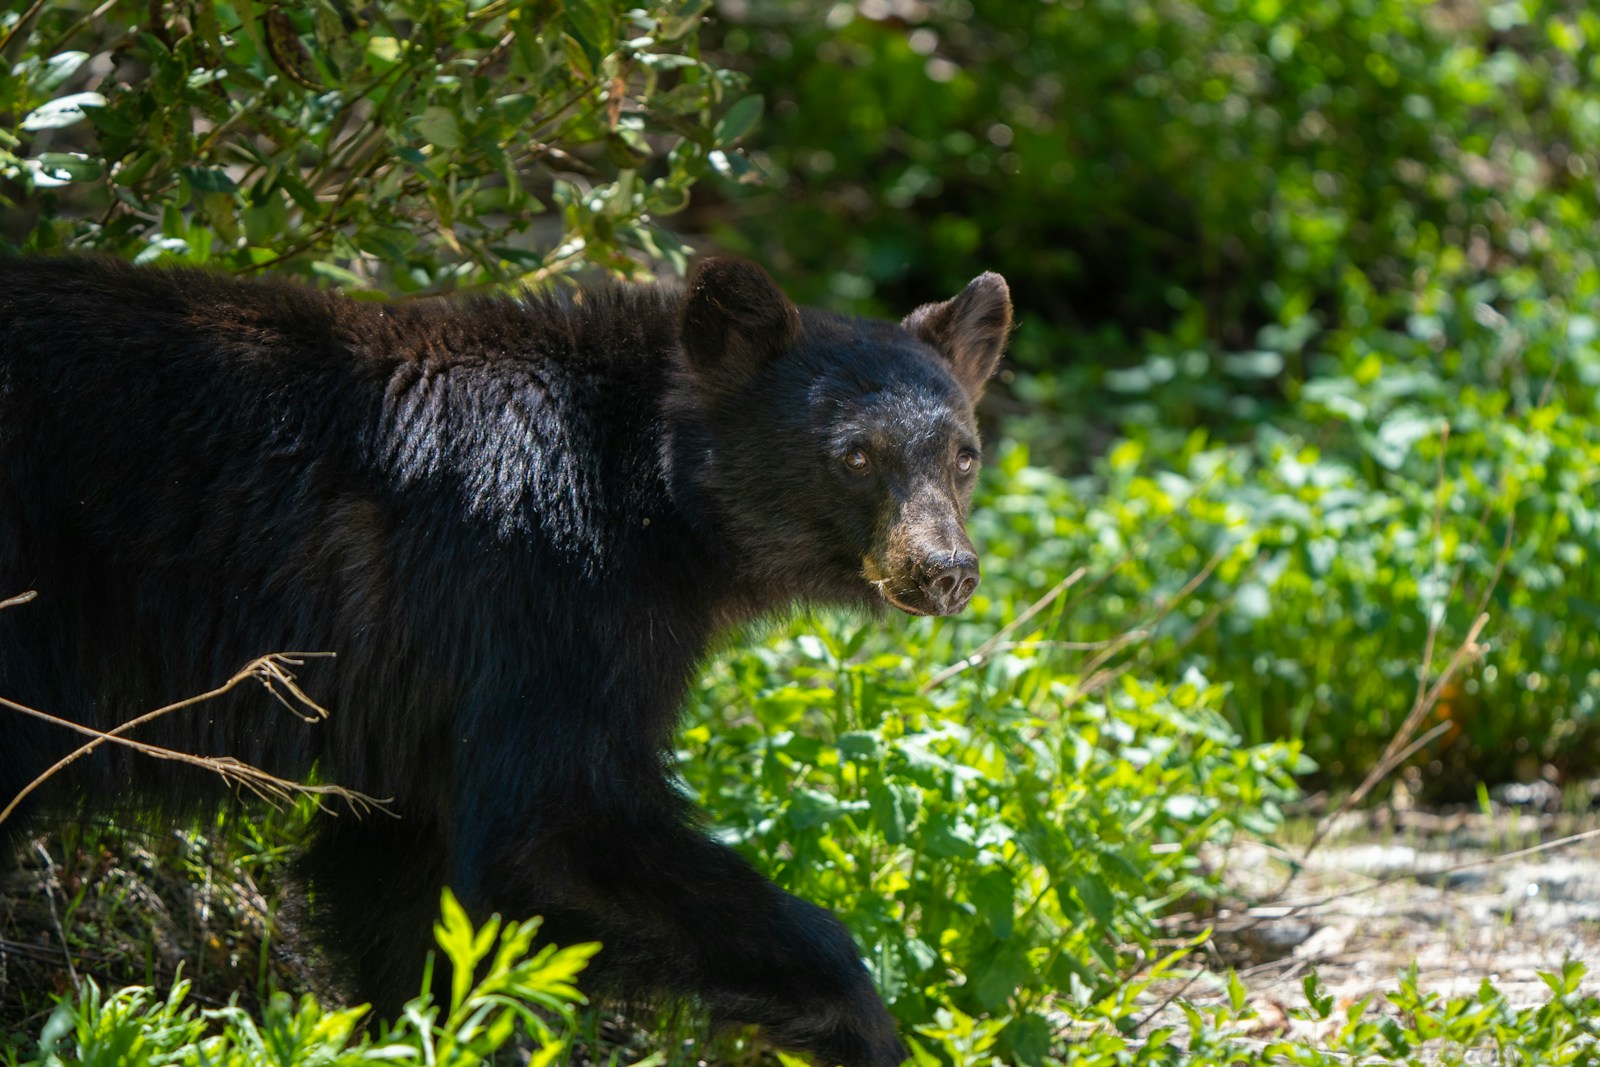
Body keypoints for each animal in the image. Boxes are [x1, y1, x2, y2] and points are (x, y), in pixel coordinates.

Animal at [0, 254, 1010, 1067]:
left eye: (963, 455)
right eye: (855, 456)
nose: (946, 569)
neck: (650, 494)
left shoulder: (427, 694)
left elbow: (403, 879)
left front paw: (422, 1031)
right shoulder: (542, 598)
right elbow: (553, 828)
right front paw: (865, 1026)